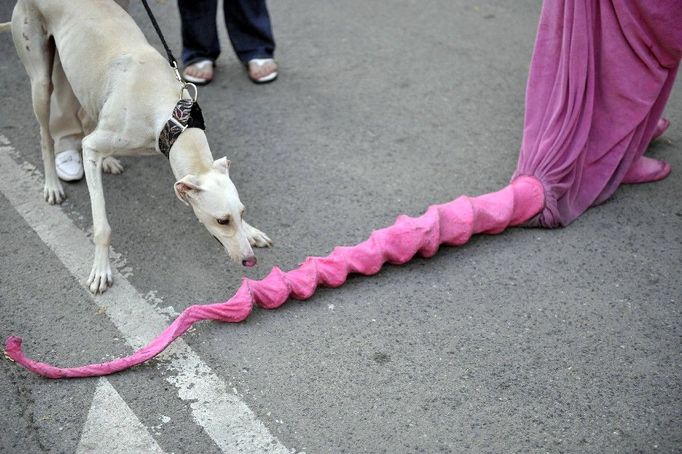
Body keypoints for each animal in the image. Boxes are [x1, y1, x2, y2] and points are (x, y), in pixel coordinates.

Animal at [1, 0, 270, 294]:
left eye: (241, 213)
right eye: (222, 220)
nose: (250, 261)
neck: (172, 116)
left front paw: (252, 231)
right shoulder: (94, 146)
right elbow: (102, 226)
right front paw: (101, 271)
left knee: (86, 118)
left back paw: (106, 161)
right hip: (40, 80)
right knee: (46, 135)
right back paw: (52, 185)